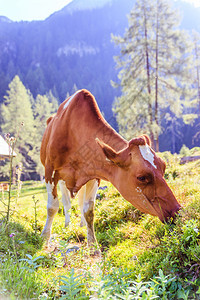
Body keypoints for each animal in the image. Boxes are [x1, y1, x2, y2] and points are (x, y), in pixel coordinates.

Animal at [40, 89, 181, 248]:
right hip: (62, 179)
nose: (177, 211)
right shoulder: (49, 171)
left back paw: (81, 224)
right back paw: (67, 223)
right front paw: (45, 238)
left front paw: (93, 245)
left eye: (163, 167)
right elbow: (52, 207)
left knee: (80, 200)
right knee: (66, 201)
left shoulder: (93, 175)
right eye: (142, 177)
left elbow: (89, 211)